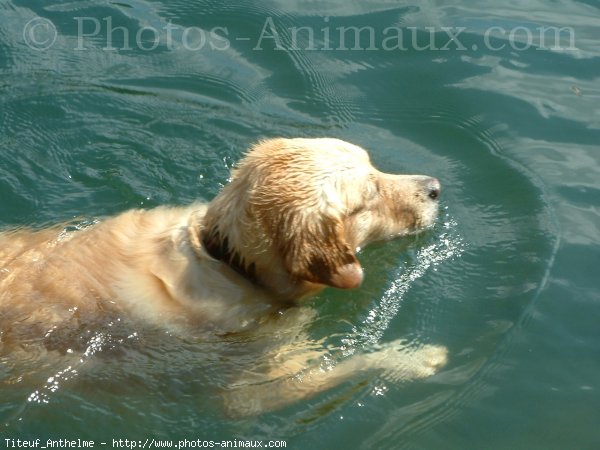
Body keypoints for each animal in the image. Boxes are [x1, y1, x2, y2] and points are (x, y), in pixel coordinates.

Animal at [0, 138, 446, 418]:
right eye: (369, 198)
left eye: (376, 165)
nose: (436, 186)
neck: (228, 261)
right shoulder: (246, 392)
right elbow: (347, 367)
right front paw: (410, 358)